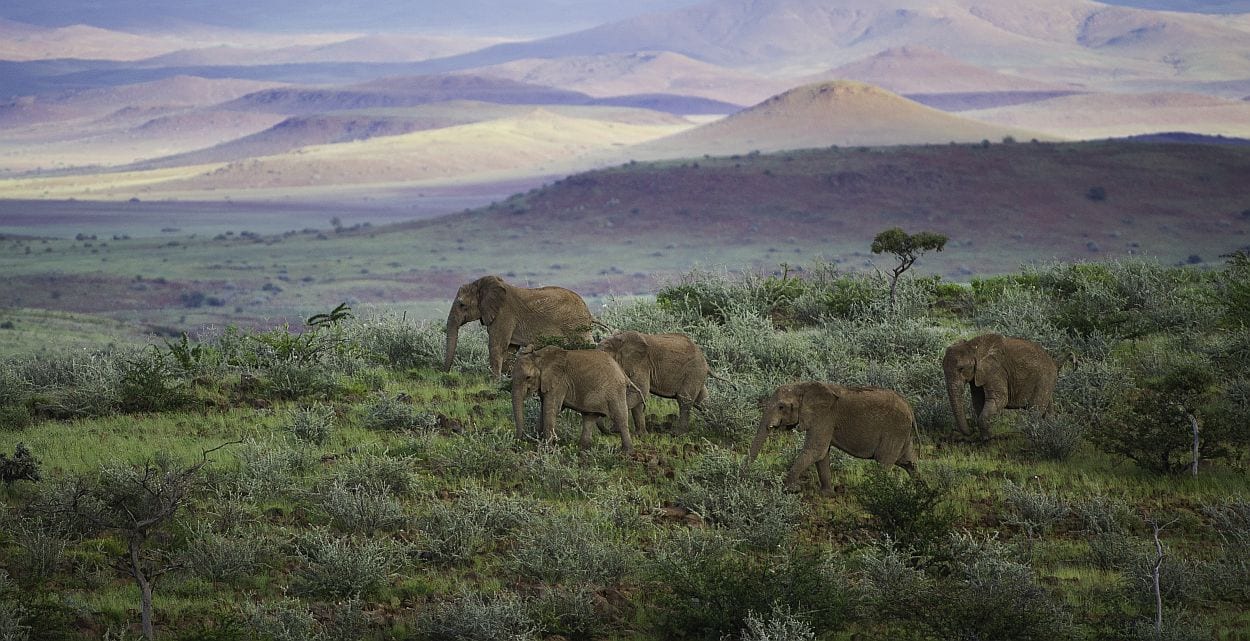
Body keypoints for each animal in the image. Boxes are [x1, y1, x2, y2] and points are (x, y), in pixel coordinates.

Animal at [444, 275, 594, 377]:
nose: (445, 373)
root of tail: (586, 307)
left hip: (576, 325)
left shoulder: (504, 314)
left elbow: (497, 346)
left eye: (462, 304)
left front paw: (494, 383)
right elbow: (510, 349)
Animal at [511, 345, 643, 455]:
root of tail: (623, 373)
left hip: (615, 391)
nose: (518, 442)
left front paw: (547, 450)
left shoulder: (559, 383)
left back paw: (627, 453)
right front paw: (537, 441)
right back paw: (583, 450)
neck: (539, 356)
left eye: (528, 377)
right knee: (589, 417)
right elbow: (544, 408)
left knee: (619, 417)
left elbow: (551, 409)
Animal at [744, 382, 917, 494]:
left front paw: (791, 489)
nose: (744, 477)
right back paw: (921, 491)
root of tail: (909, 407)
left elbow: (816, 450)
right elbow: (821, 454)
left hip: (895, 430)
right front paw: (827, 494)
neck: (803, 386)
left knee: (883, 462)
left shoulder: (825, 416)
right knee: (909, 462)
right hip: (902, 434)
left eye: (781, 407)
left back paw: (877, 493)